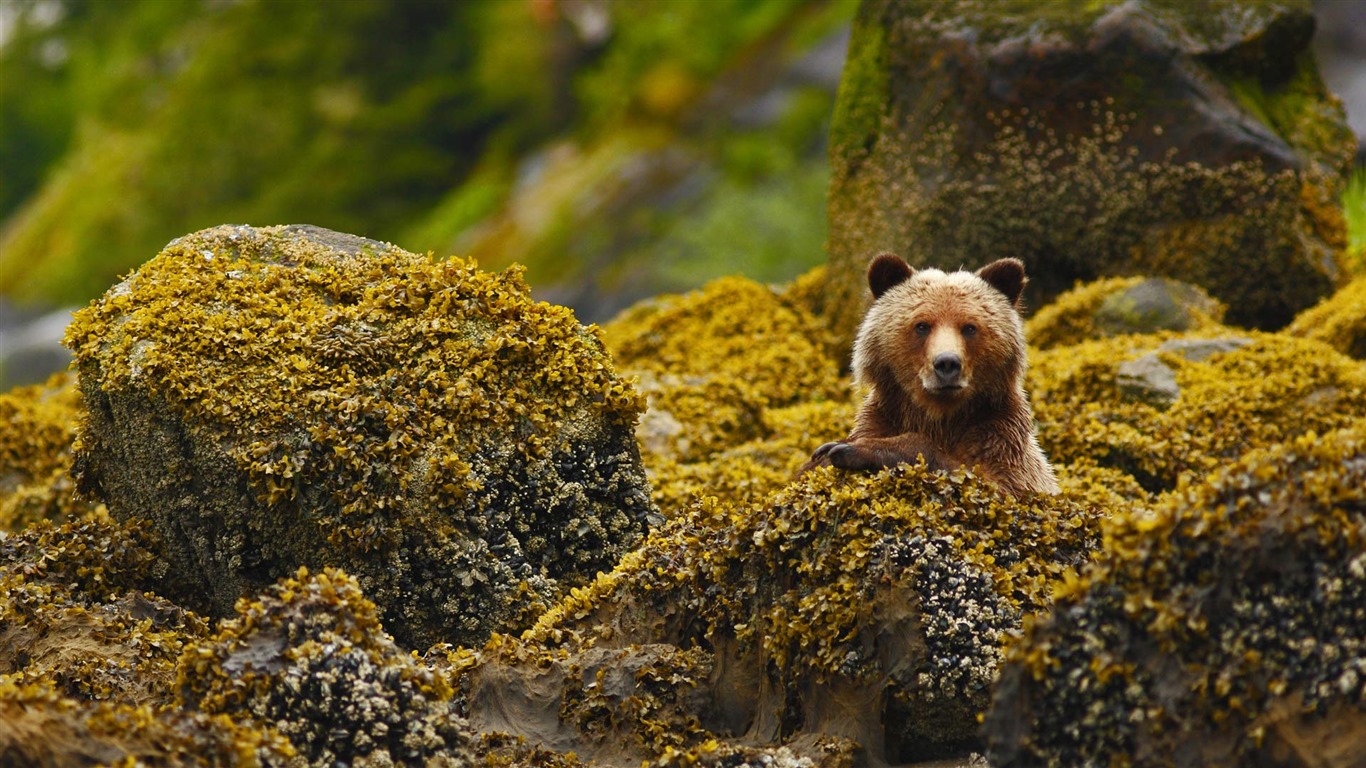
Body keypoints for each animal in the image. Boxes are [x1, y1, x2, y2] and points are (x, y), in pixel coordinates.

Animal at [803, 250, 1060, 489]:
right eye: (922, 325)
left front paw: (846, 449)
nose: (947, 363)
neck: (940, 416)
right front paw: (824, 453)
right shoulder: (884, 416)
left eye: (969, 327)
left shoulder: (1001, 438)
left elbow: (987, 479)